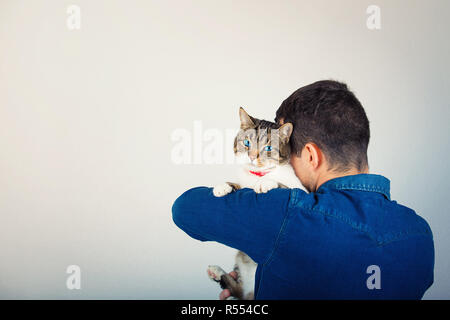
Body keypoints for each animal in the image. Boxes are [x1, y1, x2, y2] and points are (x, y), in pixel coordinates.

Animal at [207, 107, 302, 300]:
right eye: (246, 143)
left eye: (268, 148)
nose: (251, 157)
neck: (256, 175)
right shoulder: (243, 183)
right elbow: (237, 185)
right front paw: (222, 186)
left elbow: (285, 186)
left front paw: (265, 183)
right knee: (238, 291)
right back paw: (217, 272)